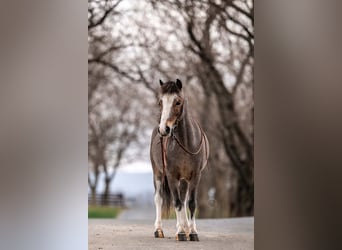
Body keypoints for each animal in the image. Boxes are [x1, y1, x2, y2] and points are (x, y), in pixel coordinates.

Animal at [150, 79, 208, 241]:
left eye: (178, 102)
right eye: (160, 102)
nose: (164, 129)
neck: (186, 142)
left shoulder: (195, 176)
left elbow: (191, 203)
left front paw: (192, 232)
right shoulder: (171, 176)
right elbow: (176, 203)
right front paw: (181, 232)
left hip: (184, 180)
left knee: (183, 199)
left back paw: (184, 228)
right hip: (158, 174)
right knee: (159, 199)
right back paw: (159, 230)